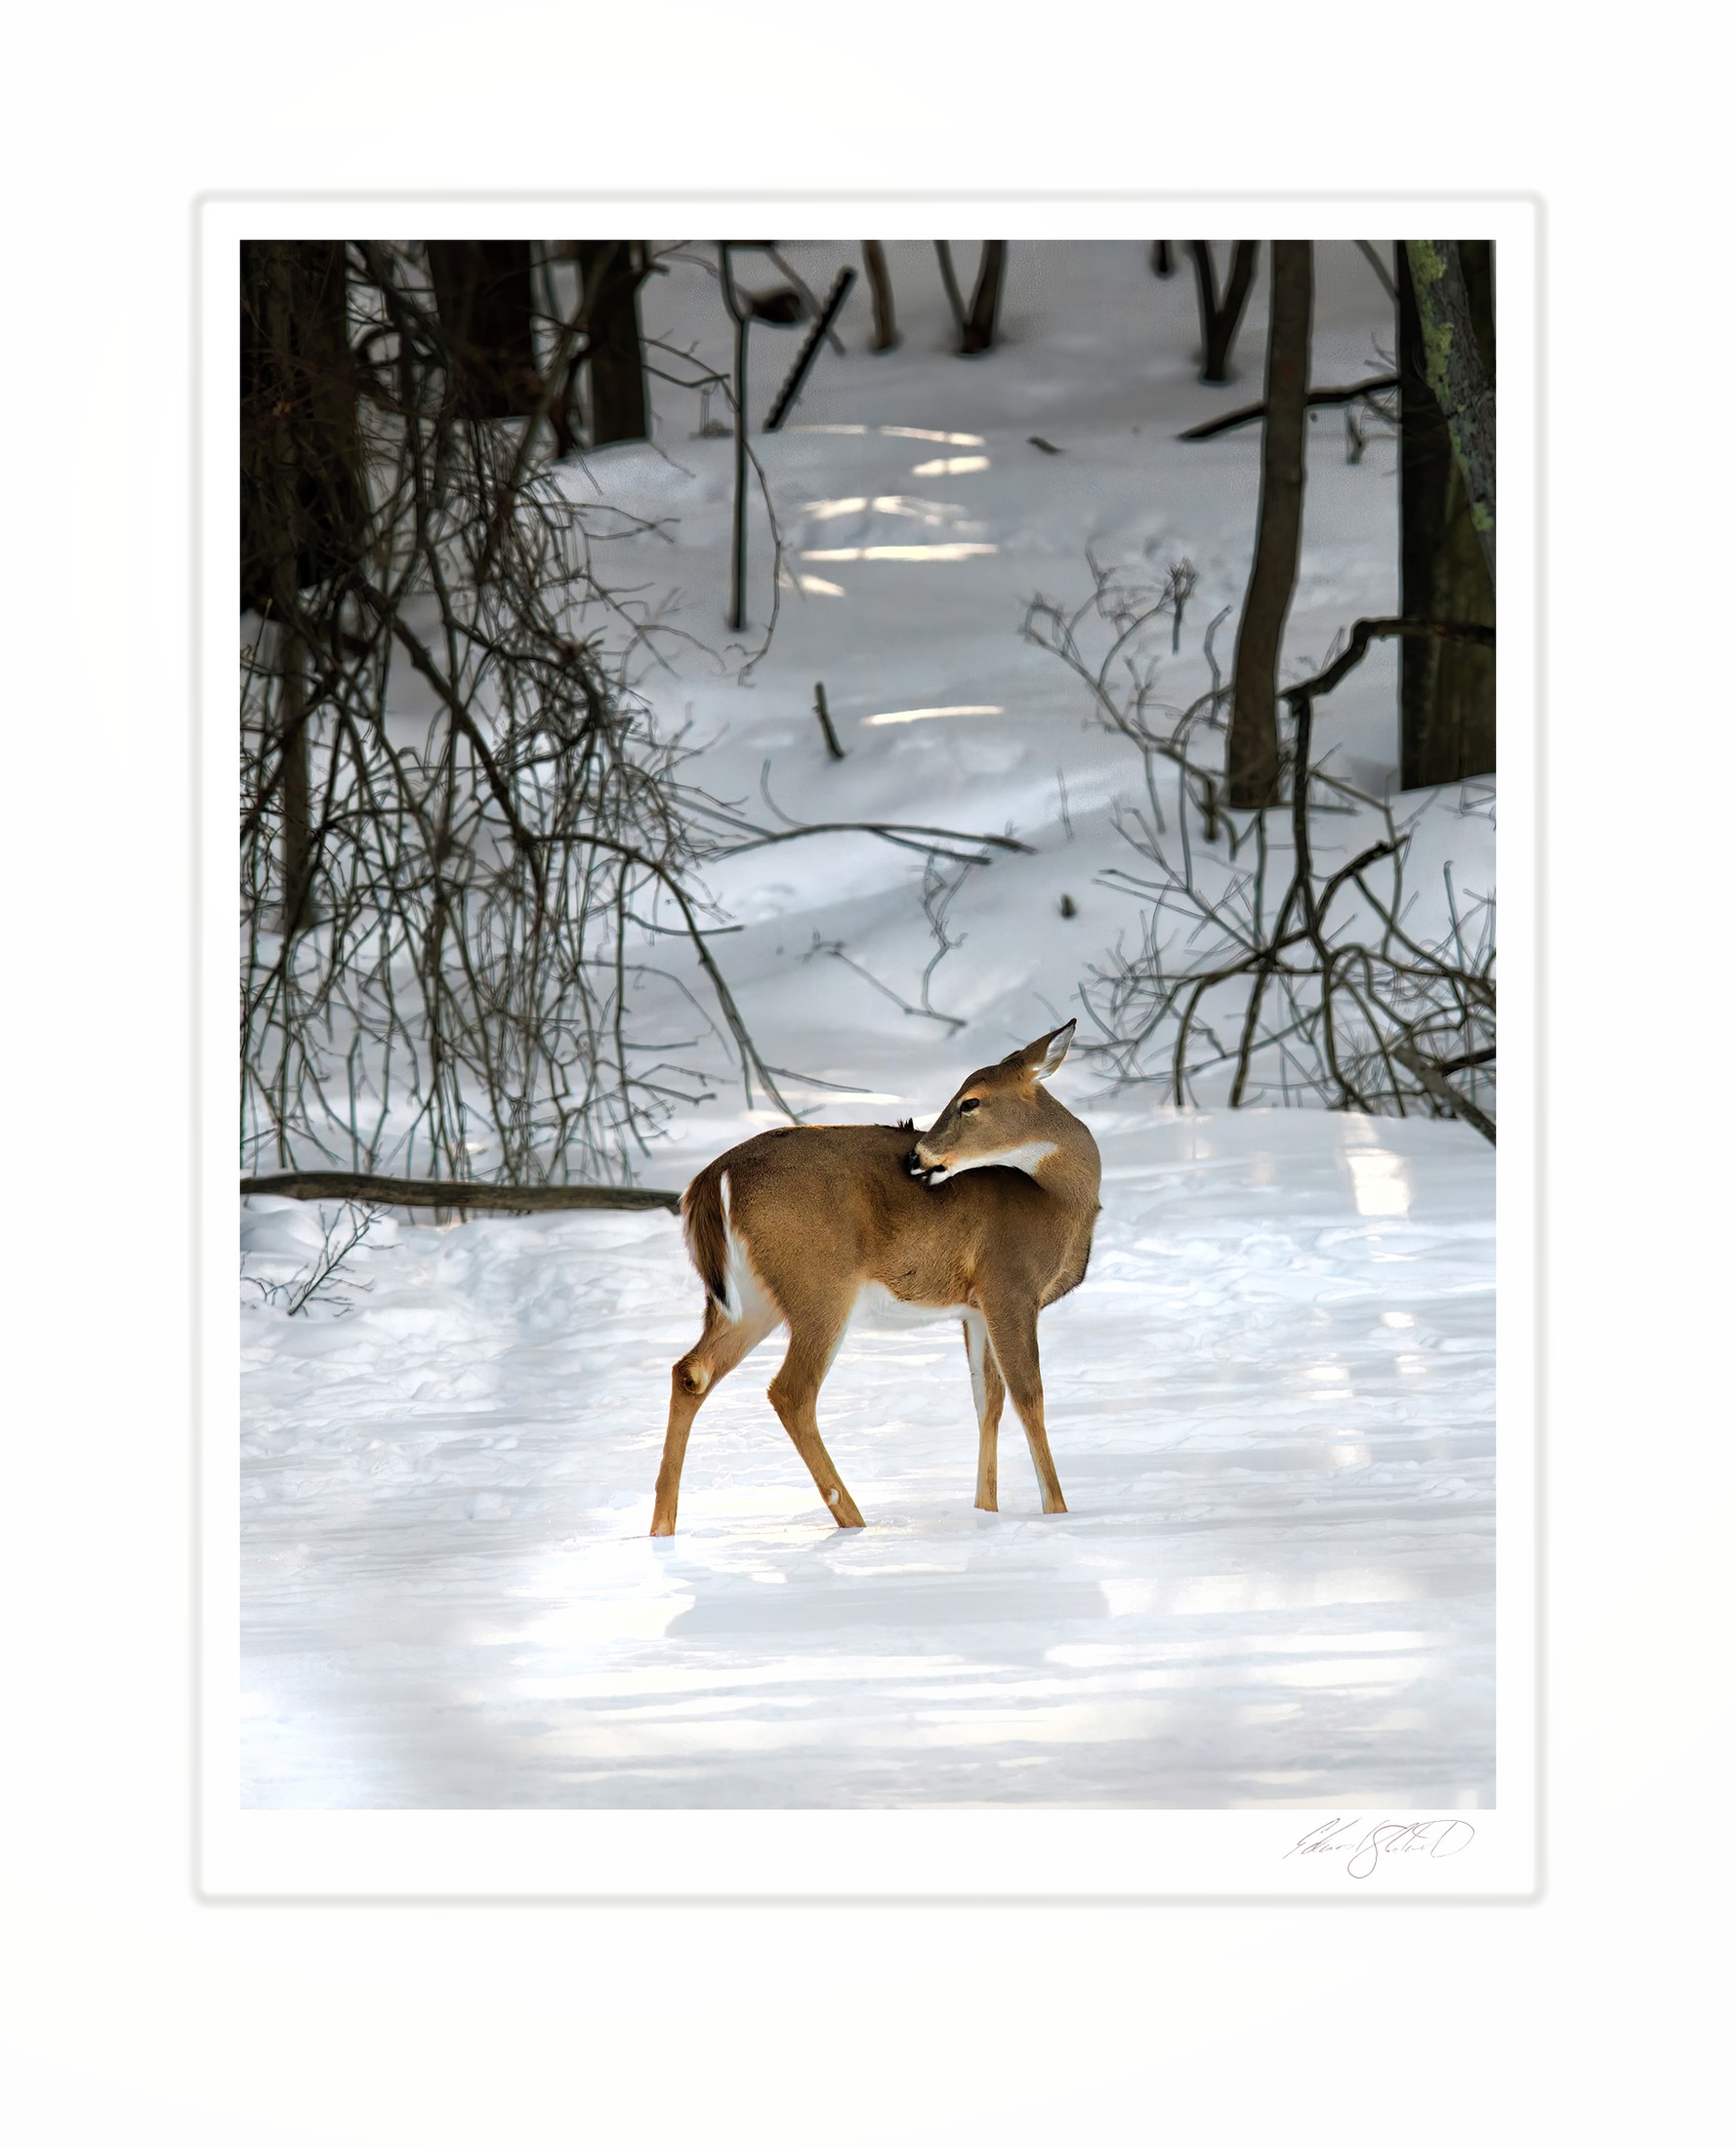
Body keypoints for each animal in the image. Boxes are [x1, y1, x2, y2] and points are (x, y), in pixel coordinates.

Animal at [650, 1020, 1100, 1535]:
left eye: (971, 1101)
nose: (916, 1158)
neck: (1056, 1201)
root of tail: (716, 1171)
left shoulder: (974, 1308)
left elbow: (989, 1399)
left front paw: (985, 1511)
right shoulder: (1009, 1284)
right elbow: (1030, 1395)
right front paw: (1057, 1512)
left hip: (748, 1298)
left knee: (690, 1372)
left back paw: (661, 1528)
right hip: (820, 1283)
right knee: (791, 1391)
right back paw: (853, 1520)